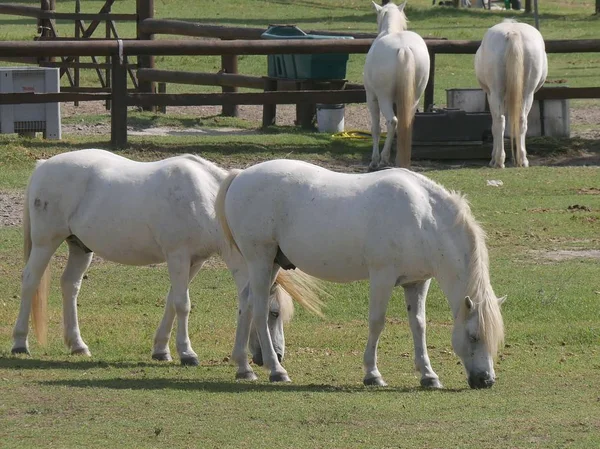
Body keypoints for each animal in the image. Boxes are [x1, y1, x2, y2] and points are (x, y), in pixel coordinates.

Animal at [11, 150, 318, 374]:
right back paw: (20, 343)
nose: (278, 355)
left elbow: (172, 301)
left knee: (70, 286)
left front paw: (161, 350)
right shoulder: (178, 256)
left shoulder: (195, 261)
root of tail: (43, 166)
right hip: (45, 243)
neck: (206, 199)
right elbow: (183, 304)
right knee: (30, 281)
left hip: (79, 247)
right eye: (274, 313)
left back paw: (78, 345)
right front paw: (187, 353)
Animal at [364, 0, 428, 169]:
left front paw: (374, 160)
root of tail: (404, 48)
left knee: (392, 122)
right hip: (415, 97)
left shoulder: (371, 97)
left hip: (383, 97)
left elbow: (376, 128)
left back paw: (383, 159)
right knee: (406, 123)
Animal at [476, 19, 548, 168]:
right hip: (527, 94)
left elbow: (495, 125)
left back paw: (498, 160)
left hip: (496, 93)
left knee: (499, 121)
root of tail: (513, 32)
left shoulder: (491, 95)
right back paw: (522, 159)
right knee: (521, 120)